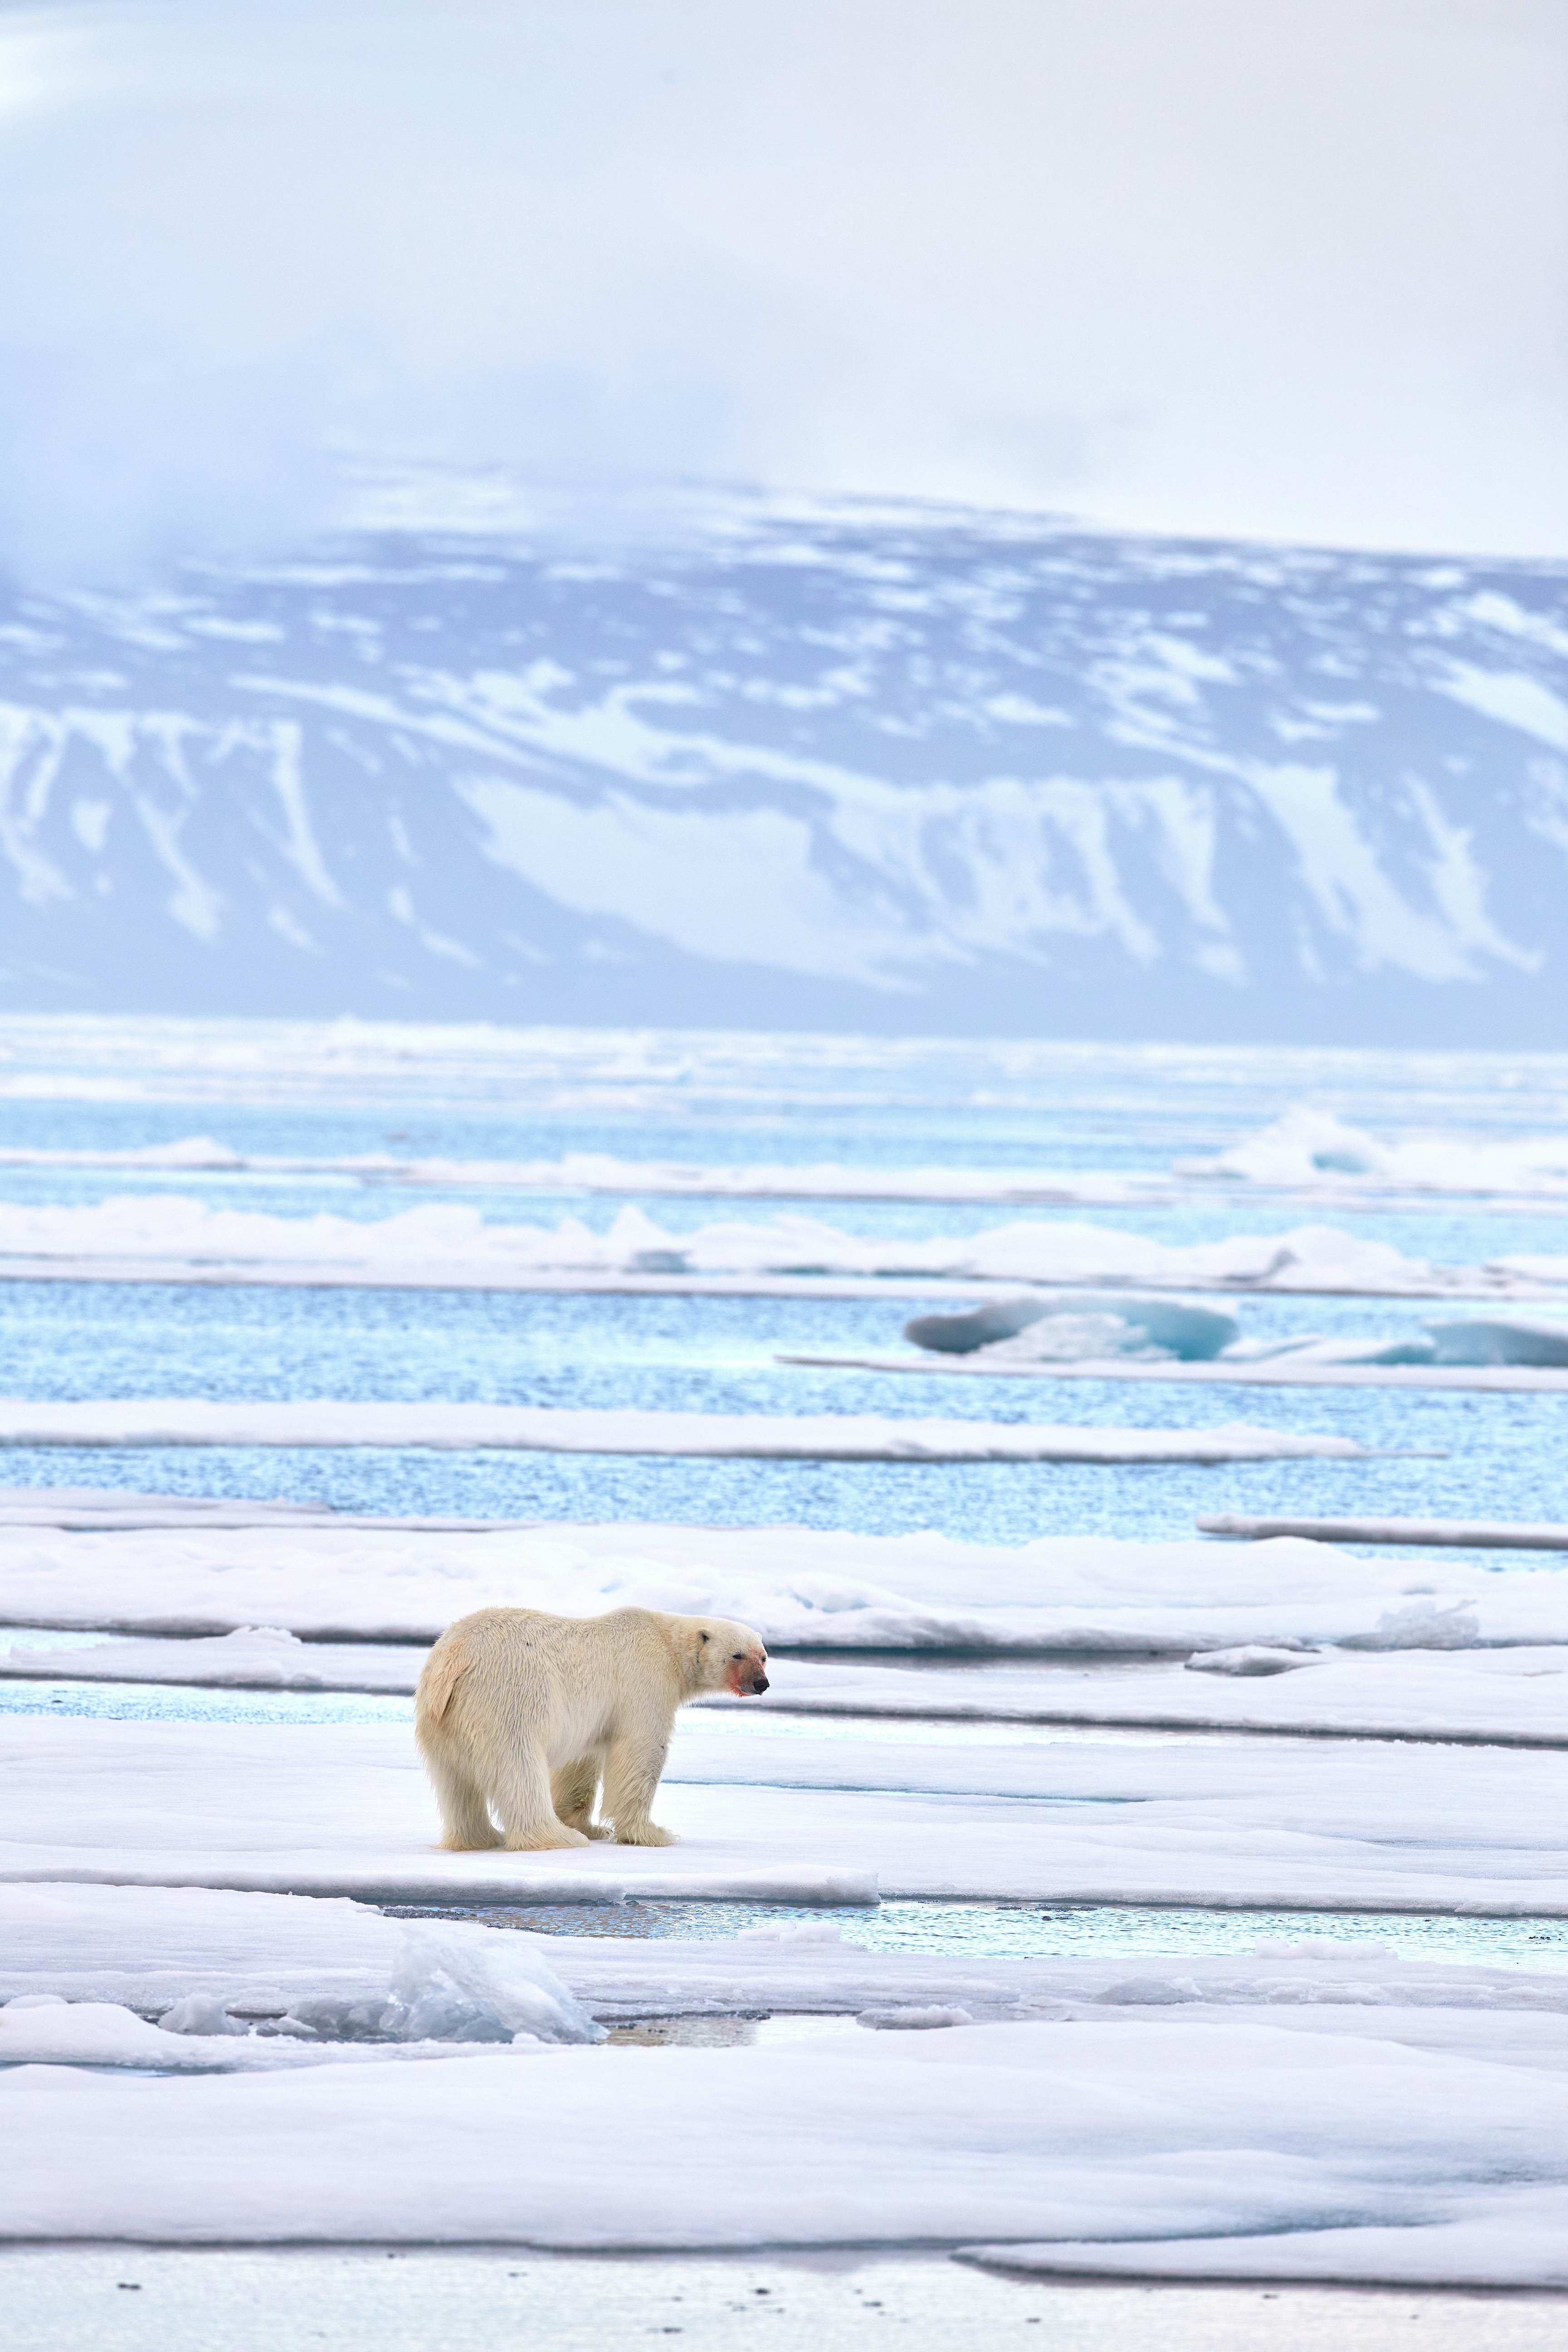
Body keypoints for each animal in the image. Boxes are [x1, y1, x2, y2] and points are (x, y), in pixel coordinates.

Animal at [414, 1604, 770, 1852]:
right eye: (737, 1655)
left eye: (764, 1656)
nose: (761, 1684)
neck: (666, 1642)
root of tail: (452, 1659)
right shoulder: (645, 1681)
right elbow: (641, 1751)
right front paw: (652, 1833)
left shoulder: (594, 1718)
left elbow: (581, 1763)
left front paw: (592, 1828)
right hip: (507, 1696)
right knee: (518, 1767)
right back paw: (557, 1837)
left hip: (441, 1719)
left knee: (454, 1782)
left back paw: (481, 1838)